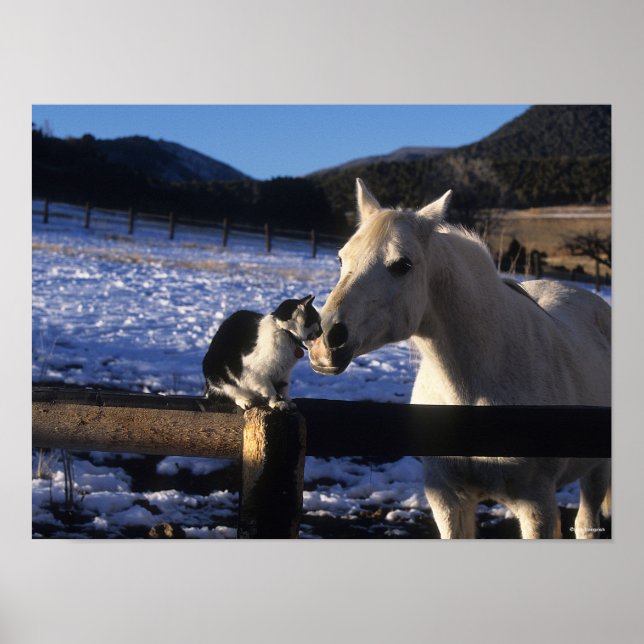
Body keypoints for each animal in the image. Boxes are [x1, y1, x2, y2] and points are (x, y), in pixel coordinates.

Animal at [309, 179, 611, 539]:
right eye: (341, 259)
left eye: (402, 265)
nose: (324, 340)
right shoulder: (447, 499)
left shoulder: (535, 503)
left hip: (597, 470)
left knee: (587, 522)